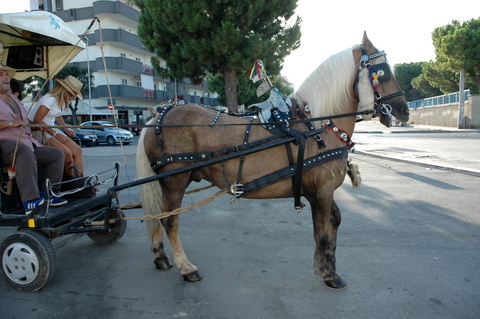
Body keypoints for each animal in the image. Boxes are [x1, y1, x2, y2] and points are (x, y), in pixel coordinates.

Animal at [135, 32, 408, 290]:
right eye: (382, 73)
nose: (404, 110)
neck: (317, 125)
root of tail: (159, 116)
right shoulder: (321, 190)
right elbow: (321, 233)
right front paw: (327, 273)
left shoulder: (318, 190)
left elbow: (334, 223)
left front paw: (330, 263)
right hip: (175, 181)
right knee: (170, 220)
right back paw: (187, 268)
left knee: (158, 215)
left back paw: (161, 256)